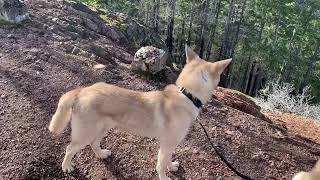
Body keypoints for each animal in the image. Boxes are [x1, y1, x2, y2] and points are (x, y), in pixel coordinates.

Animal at [48, 46, 231, 180]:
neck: (187, 94)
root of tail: (82, 90)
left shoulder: (169, 145)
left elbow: (167, 160)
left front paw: (171, 166)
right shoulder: (167, 144)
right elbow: (161, 164)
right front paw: (164, 177)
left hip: (102, 128)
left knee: (94, 143)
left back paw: (101, 154)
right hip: (85, 133)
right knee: (70, 148)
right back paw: (66, 166)